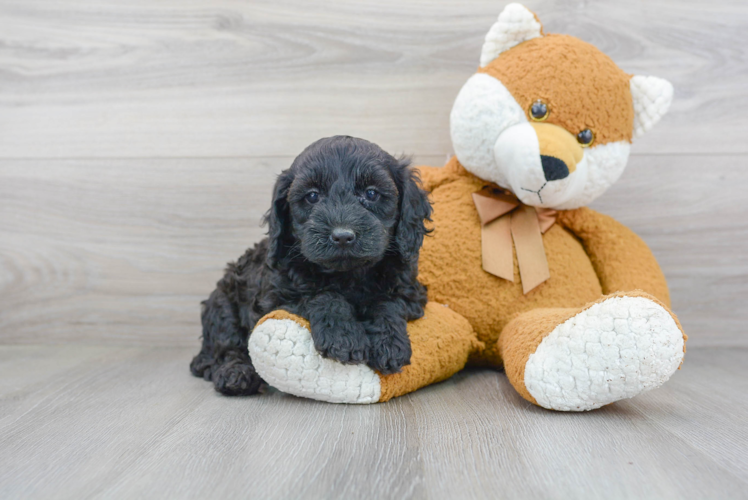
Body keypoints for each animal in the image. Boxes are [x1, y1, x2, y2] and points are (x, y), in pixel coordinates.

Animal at [188, 135, 432, 396]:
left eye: (371, 193)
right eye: (313, 196)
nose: (342, 236)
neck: (347, 274)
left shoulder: (410, 291)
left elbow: (387, 303)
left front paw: (389, 343)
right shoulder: (278, 295)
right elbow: (324, 295)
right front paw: (343, 337)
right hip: (223, 303)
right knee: (225, 346)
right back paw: (236, 374)